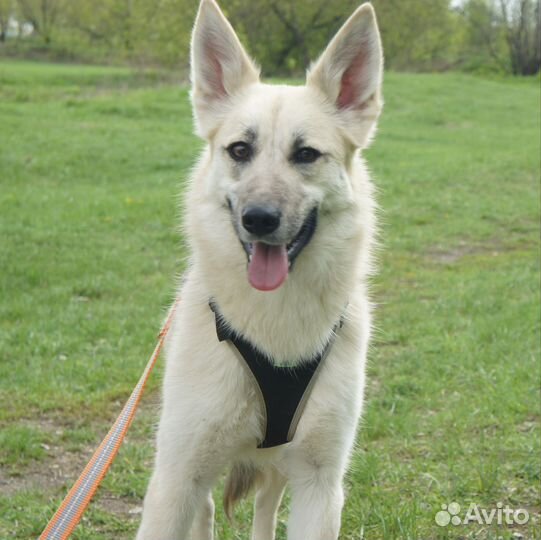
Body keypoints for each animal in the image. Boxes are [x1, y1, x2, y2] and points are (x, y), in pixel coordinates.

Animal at [137, 2, 382, 536]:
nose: (259, 219)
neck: (275, 324)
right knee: (208, 511)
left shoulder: (320, 486)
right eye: (239, 151)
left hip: (280, 469)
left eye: (306, 154)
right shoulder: (176, 481)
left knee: (265, 507)